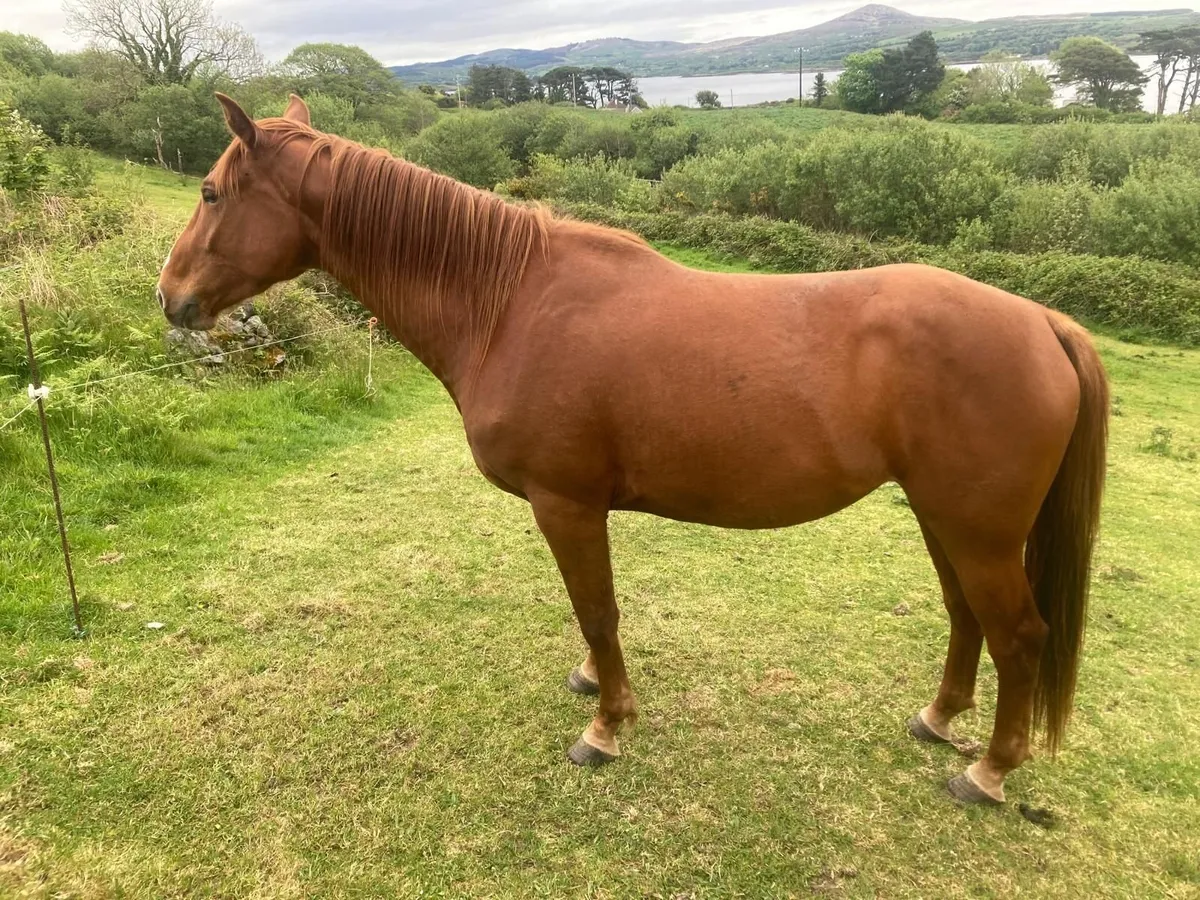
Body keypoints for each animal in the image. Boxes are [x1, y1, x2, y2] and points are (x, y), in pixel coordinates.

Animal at [157, 94, 1108, 806]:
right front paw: (594, 687)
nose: (169, 299)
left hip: (979, 530)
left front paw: (607, 727)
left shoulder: (566, 504)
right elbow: (593, 615)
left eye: (210, 193)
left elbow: (598, 610)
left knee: (1018, 633)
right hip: (945, 517)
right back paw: (939, 720)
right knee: (966, 618)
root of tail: (1043, 323)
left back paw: (989, 771)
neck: (510, 302)